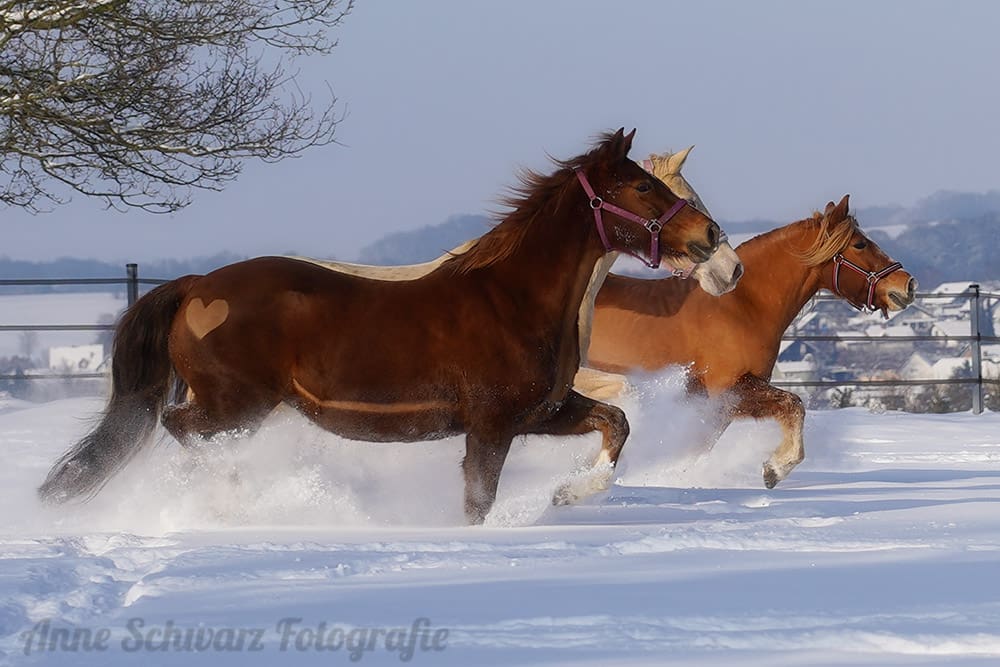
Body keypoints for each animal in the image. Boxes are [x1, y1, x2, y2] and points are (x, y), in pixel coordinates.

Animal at [39, 129, 730, 524]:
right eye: (640, 188)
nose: (714, 242)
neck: (513, 297)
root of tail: (194, 287)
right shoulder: (491, 424)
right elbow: (476, 503)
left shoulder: (542, 411)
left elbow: (618, 424)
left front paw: (566, 495)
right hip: (235, 403)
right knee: (185, 431)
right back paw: (237, 502)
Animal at [582, 193, 916, 488]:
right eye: (860, 244)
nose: (908, 285)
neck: (742, 306)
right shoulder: (727, 391)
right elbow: (793, 404)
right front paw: (775, 469)